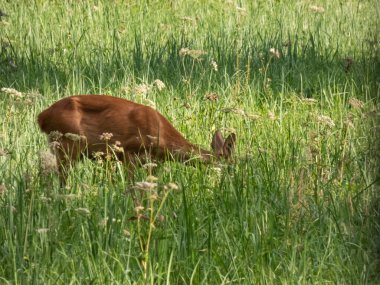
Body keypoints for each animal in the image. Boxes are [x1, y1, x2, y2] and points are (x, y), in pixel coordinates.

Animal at [37, 94, 236, 183]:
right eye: (232, 163)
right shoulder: (129, 152)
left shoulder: (154, 161)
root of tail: (42, 117)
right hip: (68, 144)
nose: (234, 179)